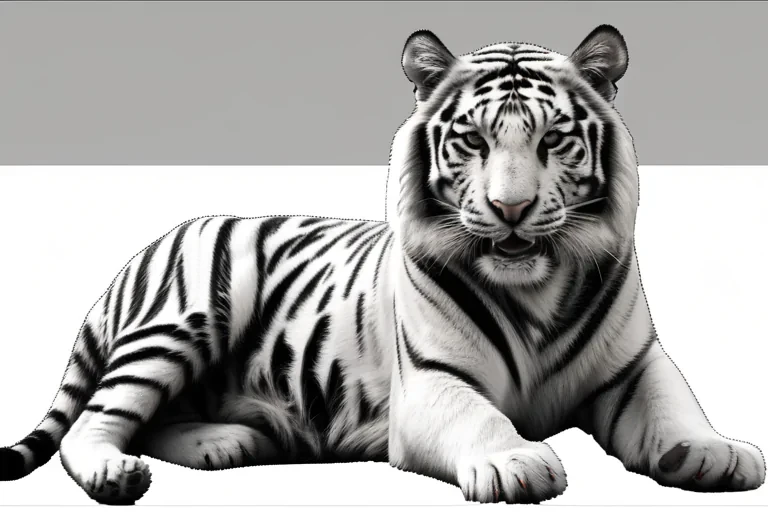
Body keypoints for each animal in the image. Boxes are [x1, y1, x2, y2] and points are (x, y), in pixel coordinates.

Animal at [0, 24, 764, 505]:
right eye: (472, 141)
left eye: (553, 140)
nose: (511, 209)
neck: (536, 292)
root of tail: (145, 249)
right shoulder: (431, 382)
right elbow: (482, 417)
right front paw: (516, 460)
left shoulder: (635, 364)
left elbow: (675, 400)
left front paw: (715, 450)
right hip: (186, 318)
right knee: (93, 422)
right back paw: (114, 472)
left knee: (147, 419)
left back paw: (225, 441)